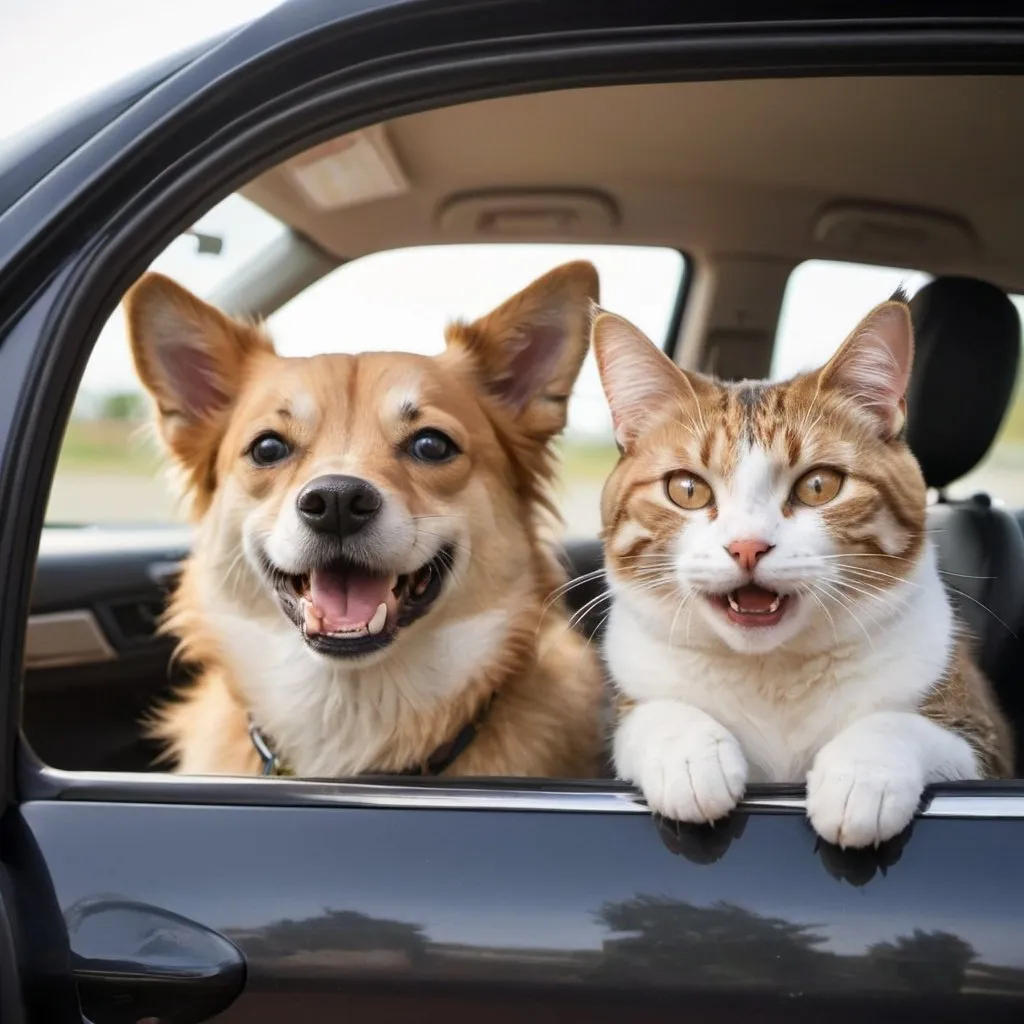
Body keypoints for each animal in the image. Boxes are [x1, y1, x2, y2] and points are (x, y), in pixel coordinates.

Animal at [589, 290, 1011, 847]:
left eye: (818, 486)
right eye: (687, 489)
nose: (747, 547)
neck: (773, 672)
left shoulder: (984, 742)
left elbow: (903, 728)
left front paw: (862, 773)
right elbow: (647, 717)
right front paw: (687, 753)